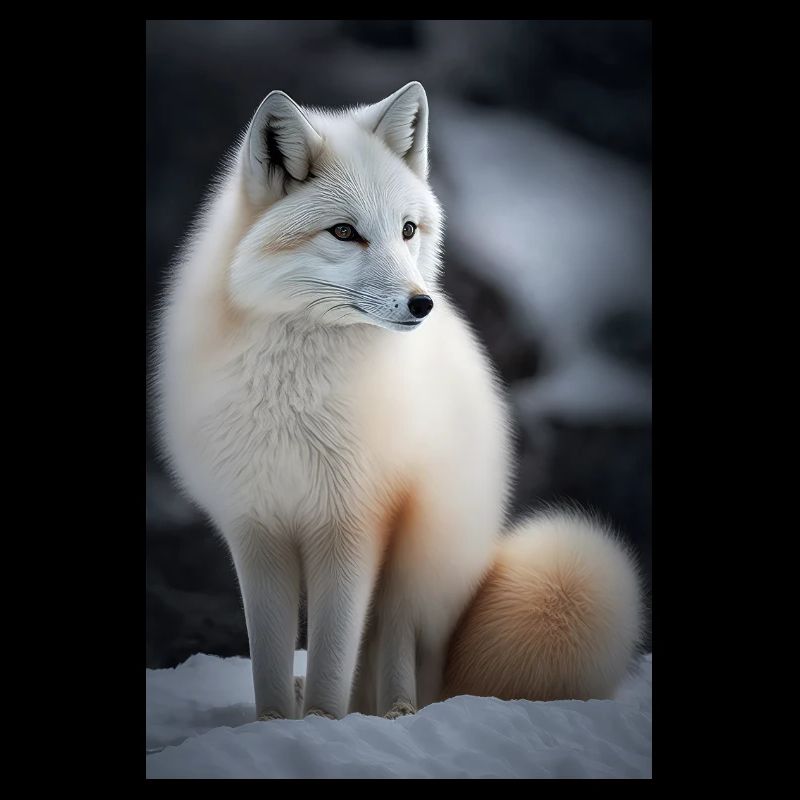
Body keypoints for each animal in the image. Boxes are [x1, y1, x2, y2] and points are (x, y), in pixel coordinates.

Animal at [154, 81, 643, 721]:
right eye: (344, 232)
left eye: (408, 229)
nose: (422, 304)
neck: (292, 397)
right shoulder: (257, 530)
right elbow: (270, 664)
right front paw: (276, 724)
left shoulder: (353, 523)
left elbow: (335, 658)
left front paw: (321, 725)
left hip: (415, 560)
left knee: (398, 643)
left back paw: (397, 712)